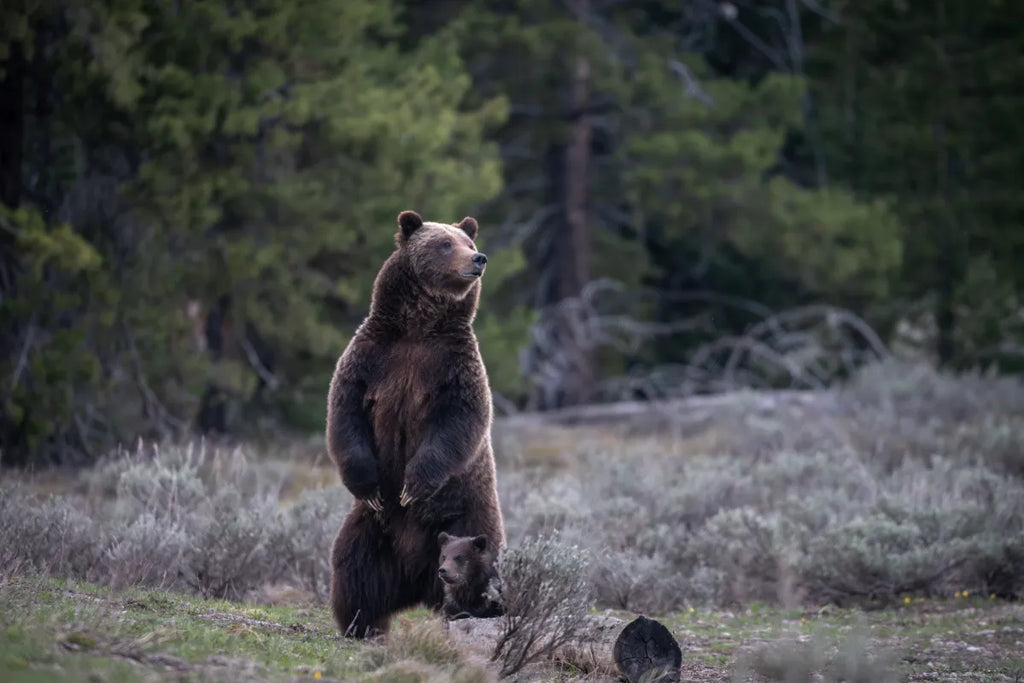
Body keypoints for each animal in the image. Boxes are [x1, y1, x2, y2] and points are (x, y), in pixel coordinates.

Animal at [325, 209, 505, 643]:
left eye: (469, 243)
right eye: (445, 243)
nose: (479, 259)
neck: (419, 327)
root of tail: (416, 582)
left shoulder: (453, 368)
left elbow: (459, 422)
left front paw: (413, 484)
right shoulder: (372, 358)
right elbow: (345, 414)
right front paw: (370, 485)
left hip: (467, 520)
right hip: (372, 532)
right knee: (354, 570)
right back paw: (361, 624)